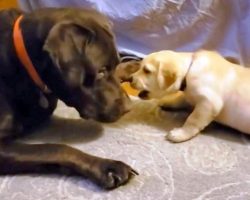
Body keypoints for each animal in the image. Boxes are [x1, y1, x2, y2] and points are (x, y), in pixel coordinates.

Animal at [0, 7, 137, 189]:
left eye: (114, 64)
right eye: (100, 72)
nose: (129, 108)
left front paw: (133, 66)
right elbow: (55, 148)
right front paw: (106, 167)